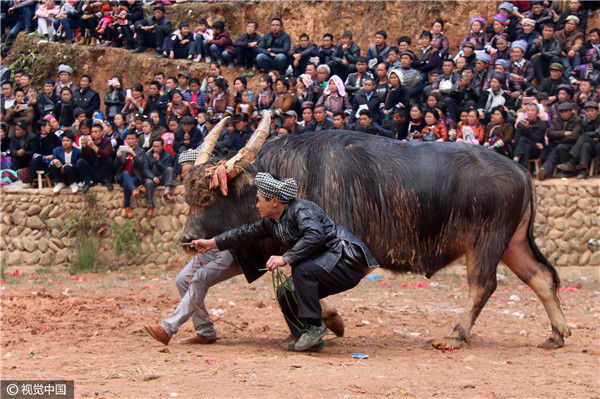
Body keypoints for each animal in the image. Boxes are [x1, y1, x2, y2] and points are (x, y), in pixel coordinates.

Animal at [182, 131, 572, 350]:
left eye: (208, 197)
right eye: (187, 196)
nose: (187, 239)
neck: (292, 173)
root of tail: (520, 171)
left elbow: (302, 284)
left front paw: (332, 320)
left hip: (486, 242)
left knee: (482, 285)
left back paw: (455, 336)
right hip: (513, 243)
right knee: (540, 277)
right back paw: (556, 334)